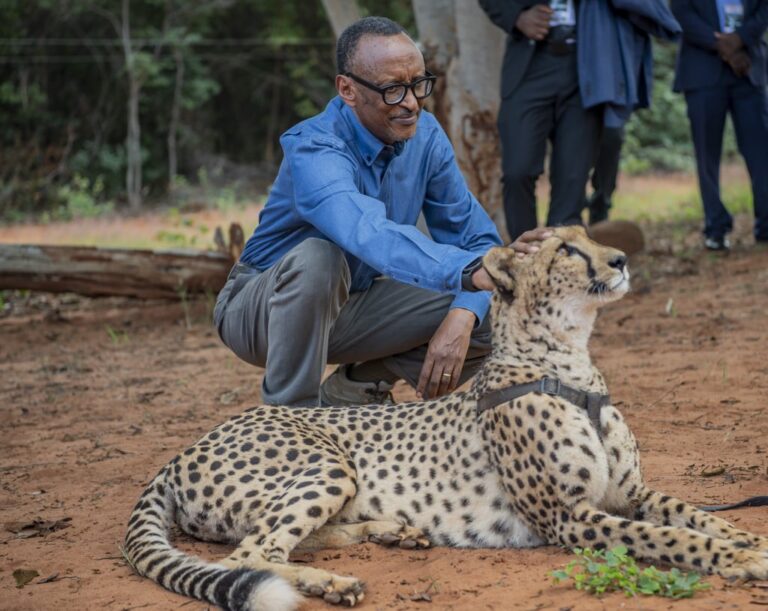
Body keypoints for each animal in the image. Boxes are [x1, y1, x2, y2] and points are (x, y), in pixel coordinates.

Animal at [123, 225, 768, 611]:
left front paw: (747, 540)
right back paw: (328, 583)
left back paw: (390, 530)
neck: (568, 361)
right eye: (566, 249)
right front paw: (739, 561)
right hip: (328, 465)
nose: (621, 259)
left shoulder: (630, 493)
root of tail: (179, 452)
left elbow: (692, 514)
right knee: (250, 556)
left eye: (589, 236)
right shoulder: (569, 518)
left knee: (274, 541)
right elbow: (669, 536)